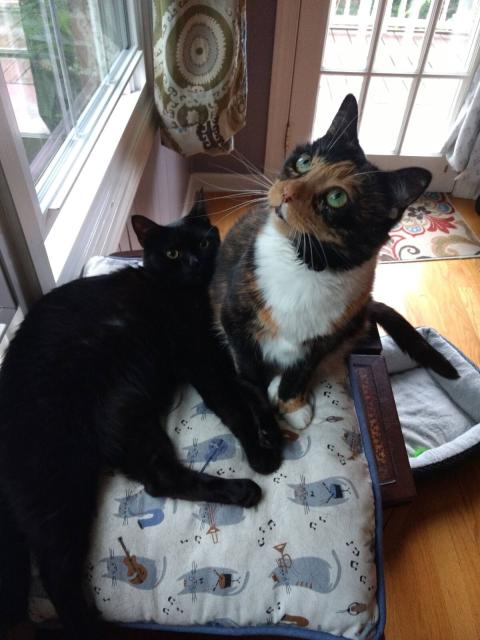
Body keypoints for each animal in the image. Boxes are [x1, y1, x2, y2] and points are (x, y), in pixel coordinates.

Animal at [0, 198, 282, 636]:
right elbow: (232, 405)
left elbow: (252, 392)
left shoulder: (224, 352)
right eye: (172, 253)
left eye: (204, 241)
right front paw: (260, 454)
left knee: (159, 480)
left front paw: (272, 433)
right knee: (56, 575)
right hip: (58, 484)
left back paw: (236, 491)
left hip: (129, 418)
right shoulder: (200, 357)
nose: (195, 262)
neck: (191, 295)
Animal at [211, 95, 458, 430]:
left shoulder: (326, 337)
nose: (286, 193)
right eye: (304, 162)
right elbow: (250, 376)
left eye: (337, 198)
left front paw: (292, 405)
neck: (303, 264)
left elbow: (300, 370)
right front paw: (267, 421)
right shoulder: (234, 318)